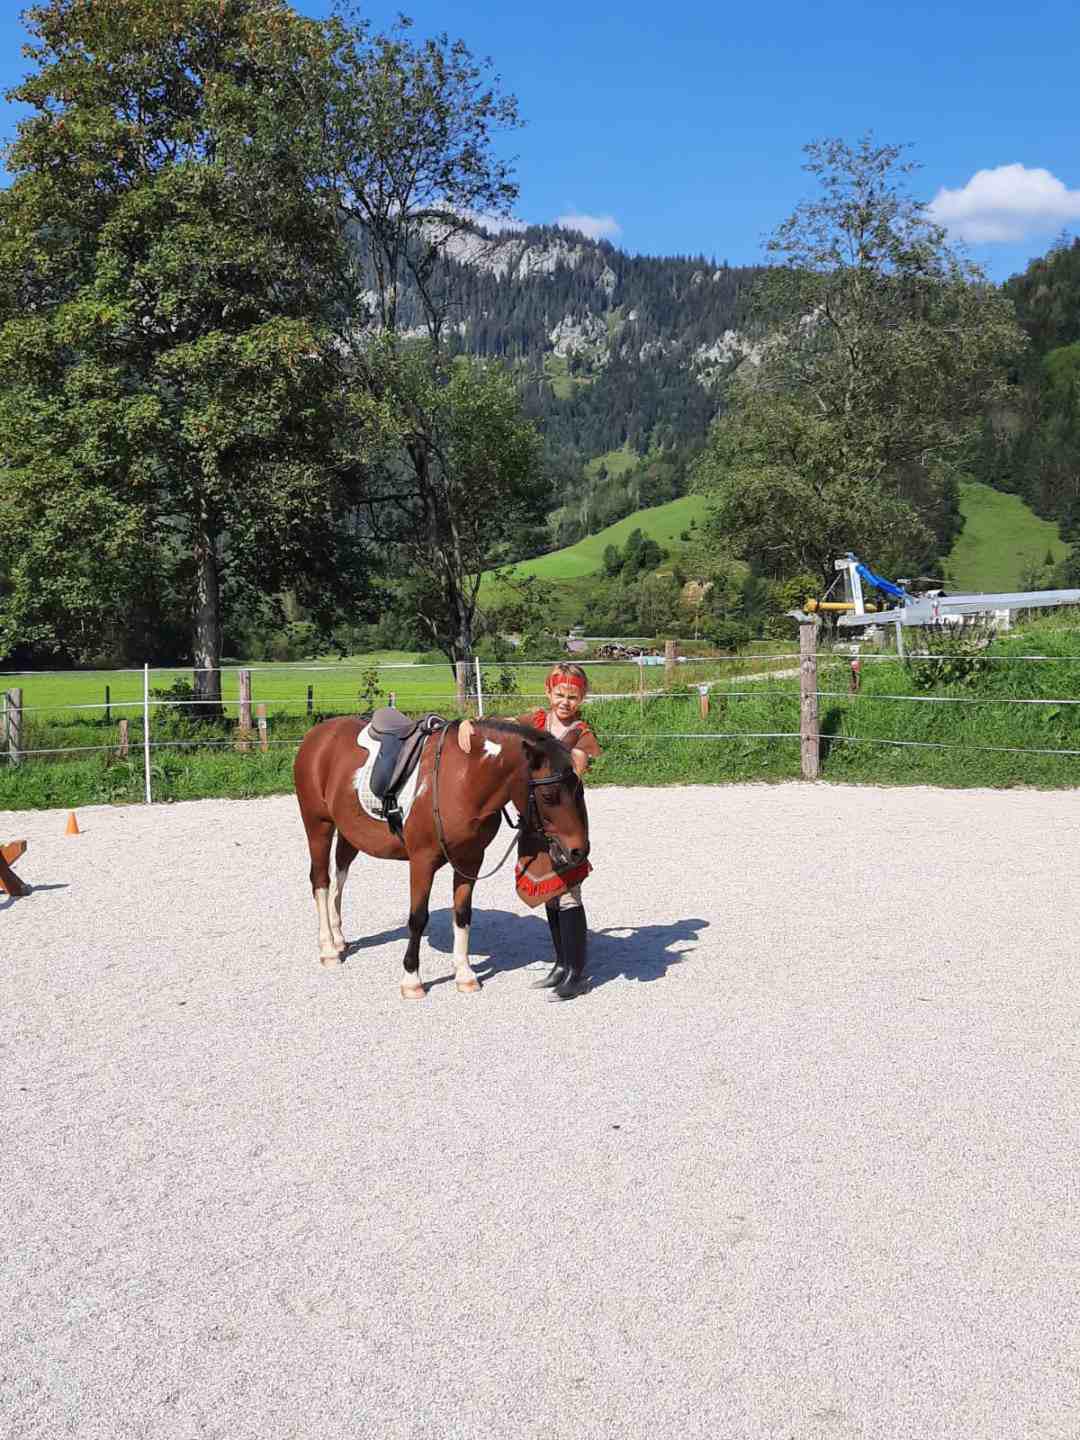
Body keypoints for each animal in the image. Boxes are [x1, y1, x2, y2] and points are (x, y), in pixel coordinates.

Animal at [293, 714, 593, 996]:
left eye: (580, 789)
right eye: (549, 795)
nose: (579, 850)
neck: (464, 779)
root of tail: (318, 734)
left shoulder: (470, 860)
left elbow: (462, 914)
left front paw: (464, 974)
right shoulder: (422, 861)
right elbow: (417, 918)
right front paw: (411, 980)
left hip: (348, 831)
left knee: (340, 876)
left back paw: (339, 937)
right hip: (318, 825)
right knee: (321, 881)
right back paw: (328, 948)